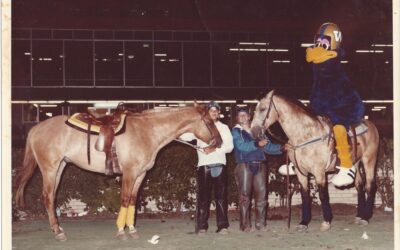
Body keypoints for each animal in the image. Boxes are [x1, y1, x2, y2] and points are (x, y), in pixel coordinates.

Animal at [14, 103, 222, 240]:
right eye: (210, 122)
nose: (219, 142)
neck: (148, 131)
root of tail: (36, 128)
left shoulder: (140, 175)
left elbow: (132, 200)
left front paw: (132, 229)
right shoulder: (129, 173)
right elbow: (124, 199)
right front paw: (121, 231)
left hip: (60, 168)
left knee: (52, 196)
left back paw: (58, 229)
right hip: (49, 169)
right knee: (48, 197)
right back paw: (57, 232)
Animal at [252, 90, 380, 232]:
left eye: (263, 109)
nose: (253, 132)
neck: (305, 136)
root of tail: (371, 125)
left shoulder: (319, 171)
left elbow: (323, 195)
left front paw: (326, 221)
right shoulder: (301, 173)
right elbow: (305, 195)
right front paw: (303, 222)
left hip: (369, 160)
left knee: (370, 186)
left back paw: (365, 218)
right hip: (356, 163)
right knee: (359, 185)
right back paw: (359, 216)